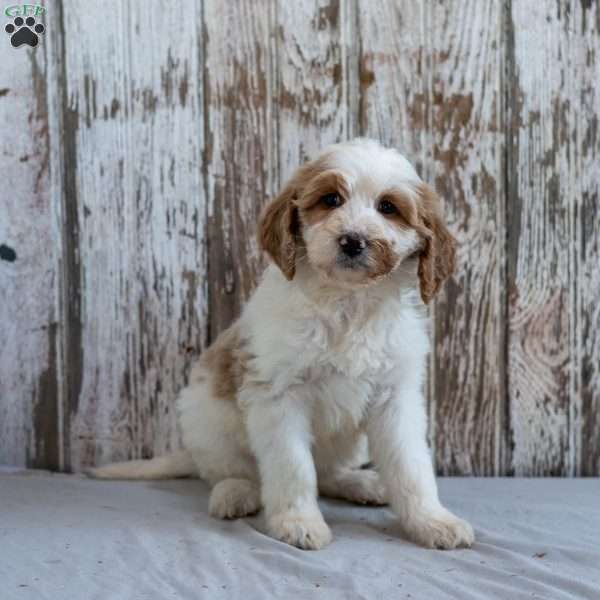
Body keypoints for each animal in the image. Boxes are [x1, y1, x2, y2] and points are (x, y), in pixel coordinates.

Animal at [90, 138, 474, 552]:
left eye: (388, 207)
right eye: (331, 199)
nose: (352, 240)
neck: (346, 302)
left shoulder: (395, 397)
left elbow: (411, 467)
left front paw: (432, 521)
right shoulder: (278, 394)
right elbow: (293, 466)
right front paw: (298, 521)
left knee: (328, 472)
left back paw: (361, 482)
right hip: (205, 418)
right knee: (229, 470)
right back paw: (236, 493)